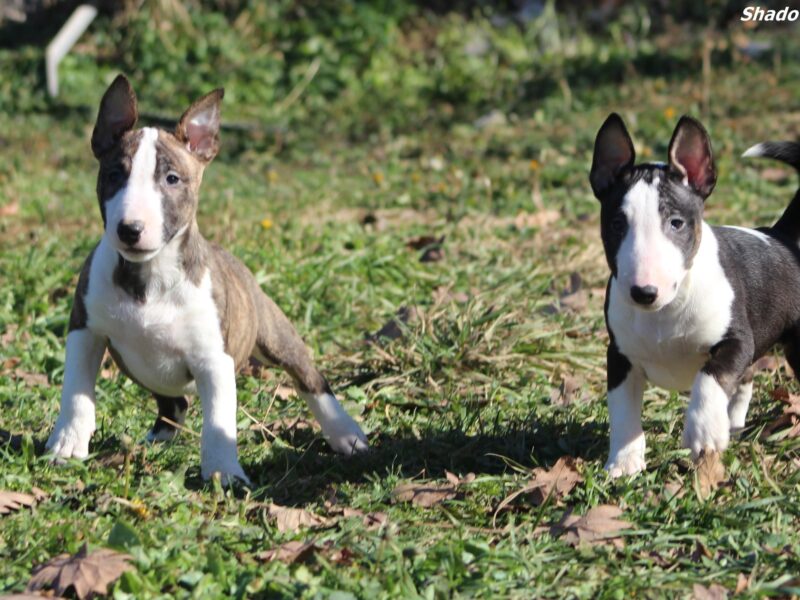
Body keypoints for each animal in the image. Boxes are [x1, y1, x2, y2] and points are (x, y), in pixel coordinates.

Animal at [45, 76, 368, 488]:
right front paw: (67, 444)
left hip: (276, 338)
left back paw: (346, 434)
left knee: (311, 381)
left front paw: (224, 473)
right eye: (115, 175)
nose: (130, 229)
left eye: (172, 179)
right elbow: (76, 392)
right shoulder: (85, 331)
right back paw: (157, 438)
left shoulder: (214, 358)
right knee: (175, 402)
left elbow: (218, 420)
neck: (148, 276)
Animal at [592, 113, 800, 478]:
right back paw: (732, 424)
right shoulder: (619, 355)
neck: (665, 312)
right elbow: (622, 409)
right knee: (746, 380)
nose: (644, 293)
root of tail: (782, 237)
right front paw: (624, 461)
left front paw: (703, 431)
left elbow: (710, 376)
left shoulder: (737, 341)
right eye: (617, 224)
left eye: (676, 222)